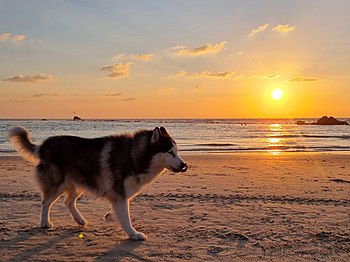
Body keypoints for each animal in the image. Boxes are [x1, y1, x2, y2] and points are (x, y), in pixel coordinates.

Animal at [7, 126, 186, 241]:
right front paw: (133, 234)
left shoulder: (119, 196)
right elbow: (126, 218)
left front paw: (113, 219)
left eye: (177, 152)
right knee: (46, 202)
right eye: (170, 152)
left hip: (78, 182)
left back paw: (80, 220)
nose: (185, 165)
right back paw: (45, 222)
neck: (133, 155)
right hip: (58, 183)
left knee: (68, 201)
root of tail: (44, 144)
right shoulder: (119, 195)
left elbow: (121, 214)